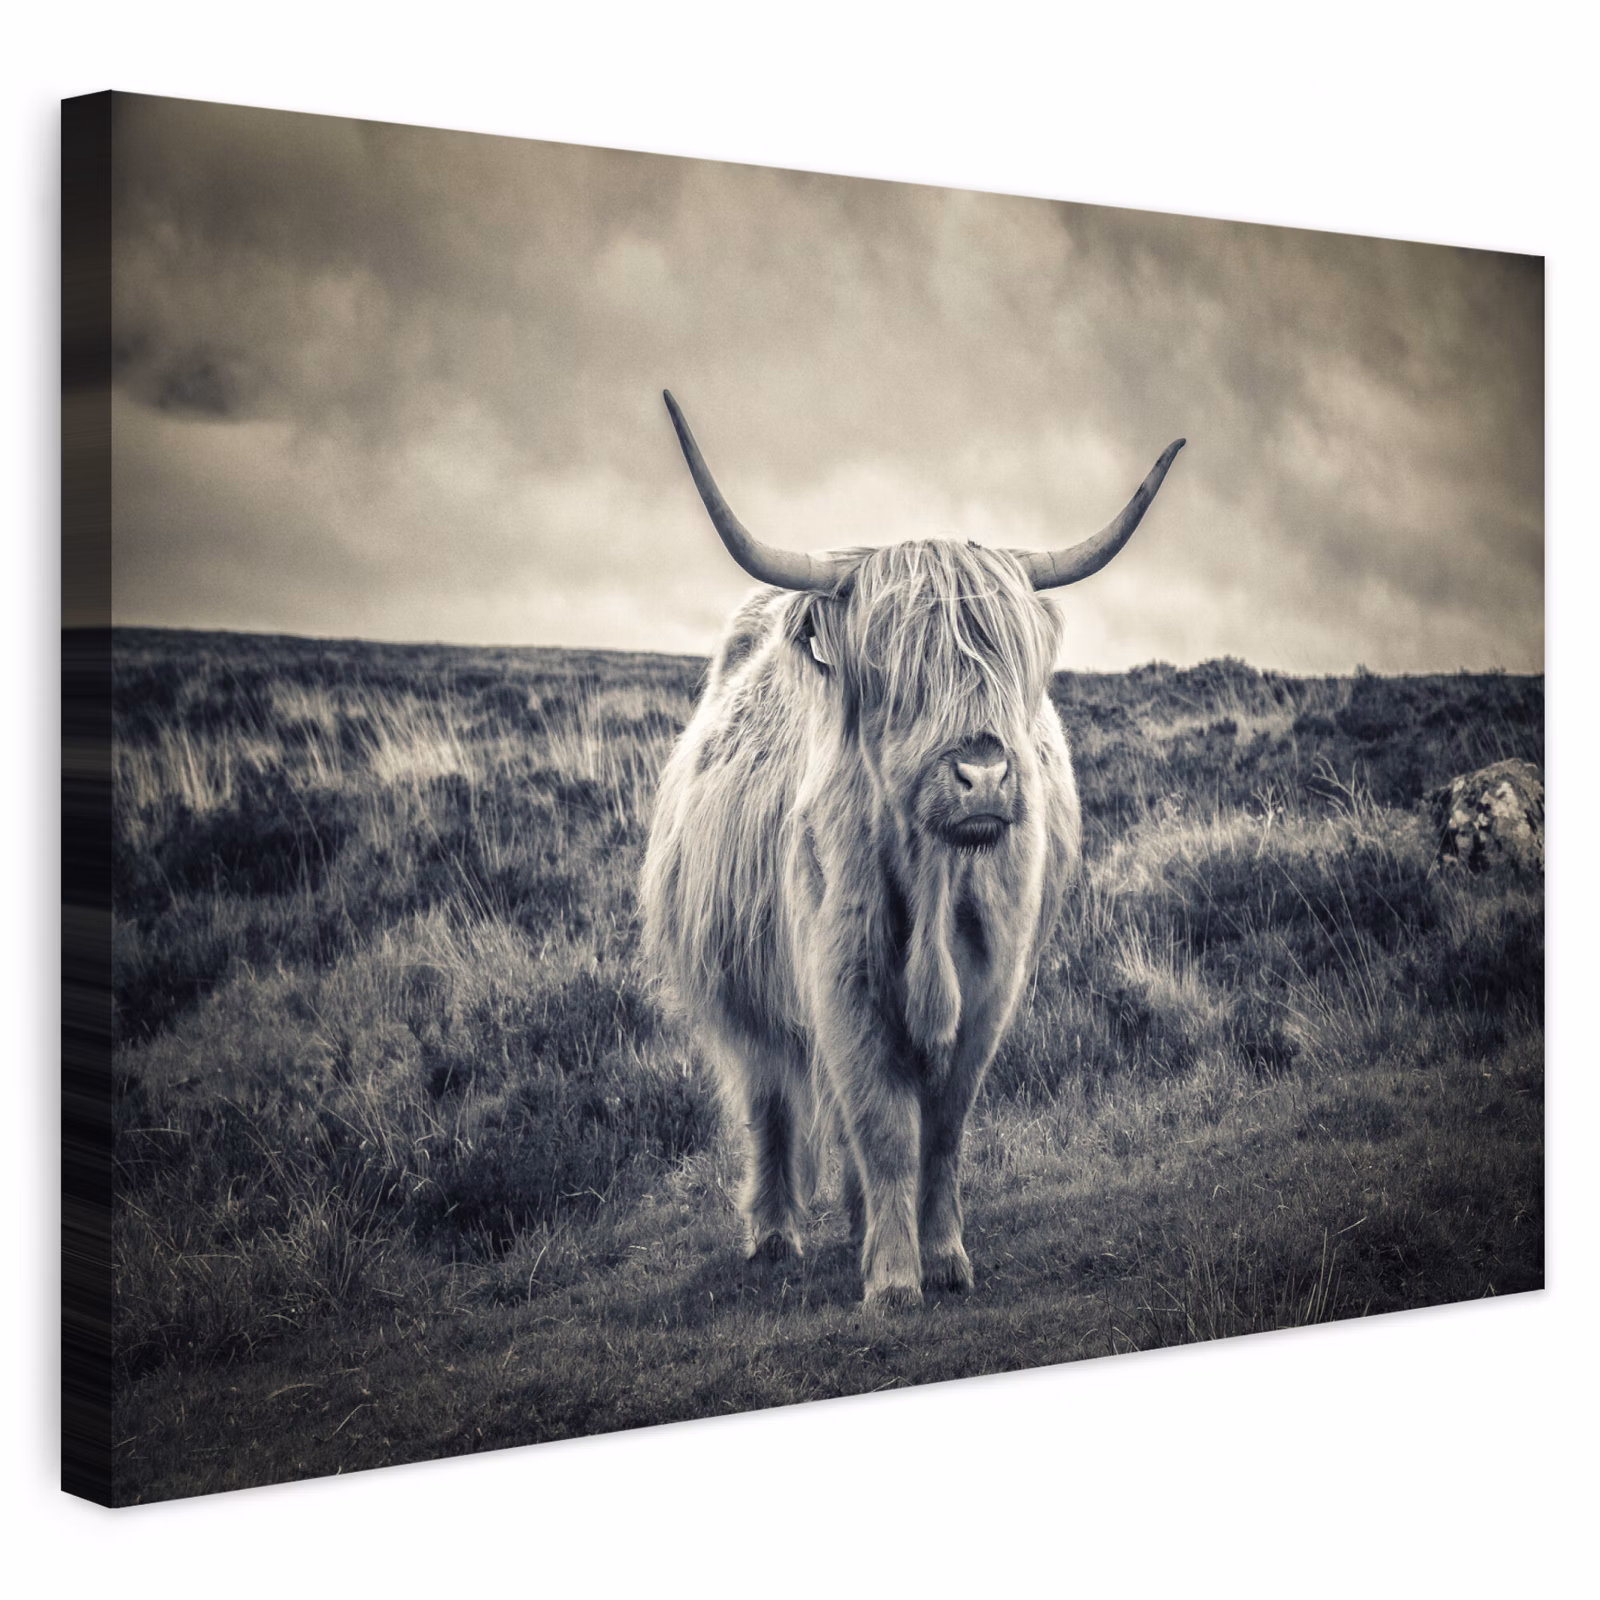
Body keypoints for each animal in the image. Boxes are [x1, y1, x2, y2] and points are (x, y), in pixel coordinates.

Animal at [642, 391, 1184, 1308]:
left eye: (1006, 662)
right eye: (899, 673)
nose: (983, 773)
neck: (935, 883)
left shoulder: (990, 988)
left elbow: (943, 1128)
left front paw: (943, 1256)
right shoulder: (842, 982)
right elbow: (883, 1123)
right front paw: (894, 1281)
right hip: (744, 993)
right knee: (771, 1100)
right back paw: (775, 1235)